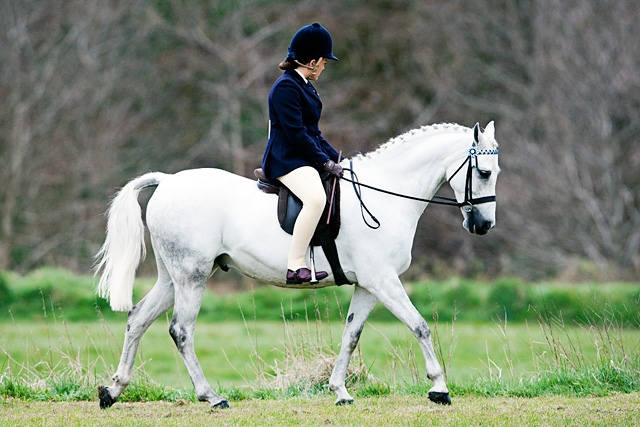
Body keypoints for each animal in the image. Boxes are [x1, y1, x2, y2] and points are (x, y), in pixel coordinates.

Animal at [94, 122, 500, 410]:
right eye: (483, 172)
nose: (483, 225)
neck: (385, 196)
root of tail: (167, 181)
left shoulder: (368, 285)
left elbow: (351, 335)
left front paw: (340, 391)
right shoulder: (382, 280)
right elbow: (419, 326)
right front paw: (439, 388)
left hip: (173, 278)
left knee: (138, 319)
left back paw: (113, 390)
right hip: (191, 277)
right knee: (181, 331)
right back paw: (211, 396)